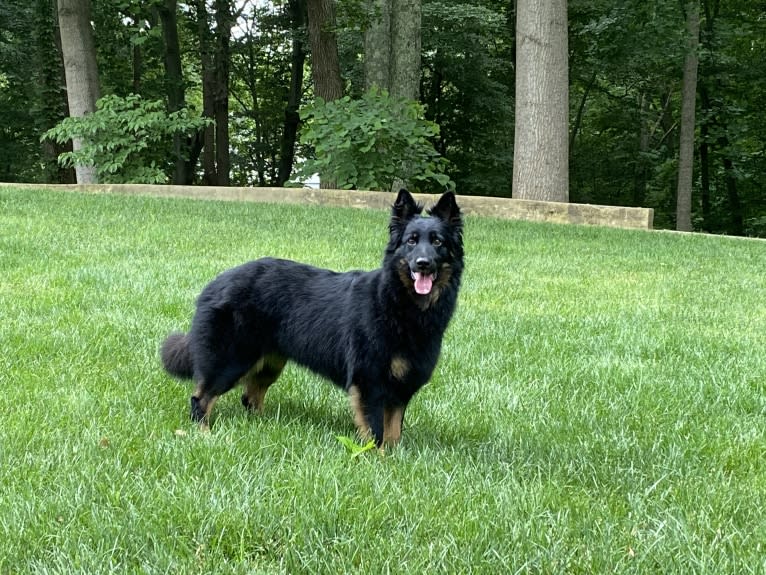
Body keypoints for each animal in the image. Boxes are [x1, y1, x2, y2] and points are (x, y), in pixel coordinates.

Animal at [159, 191, 464, 448]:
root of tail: (215, 283)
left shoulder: (401, 388)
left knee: (250, 397)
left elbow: (394, 431)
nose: (423, 263)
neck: (399, 303)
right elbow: (376, 432)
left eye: (437, 242)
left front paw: (392, 457)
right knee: (200, 398)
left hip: (269, 363)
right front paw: (377, 459)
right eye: (411, 241)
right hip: (231, 360)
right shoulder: (369, 382)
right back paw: (204, 434)